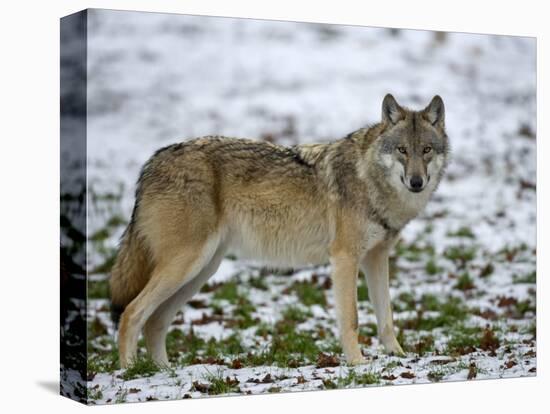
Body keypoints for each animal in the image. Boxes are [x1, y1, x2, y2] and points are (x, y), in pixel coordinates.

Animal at [110, 94, 450, 368]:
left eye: (426, 150)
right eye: (402, 150)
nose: (416, 182)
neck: (369, 180)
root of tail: (151, 163)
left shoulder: (376, 259)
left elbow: (387, 318)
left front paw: (399, 356)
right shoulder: (344, 259)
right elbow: (352, 319)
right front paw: (357, 363)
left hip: (201, 271)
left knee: (155, 321)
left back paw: (164, 372)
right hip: (186, 265)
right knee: (131, 314)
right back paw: (130, 373)